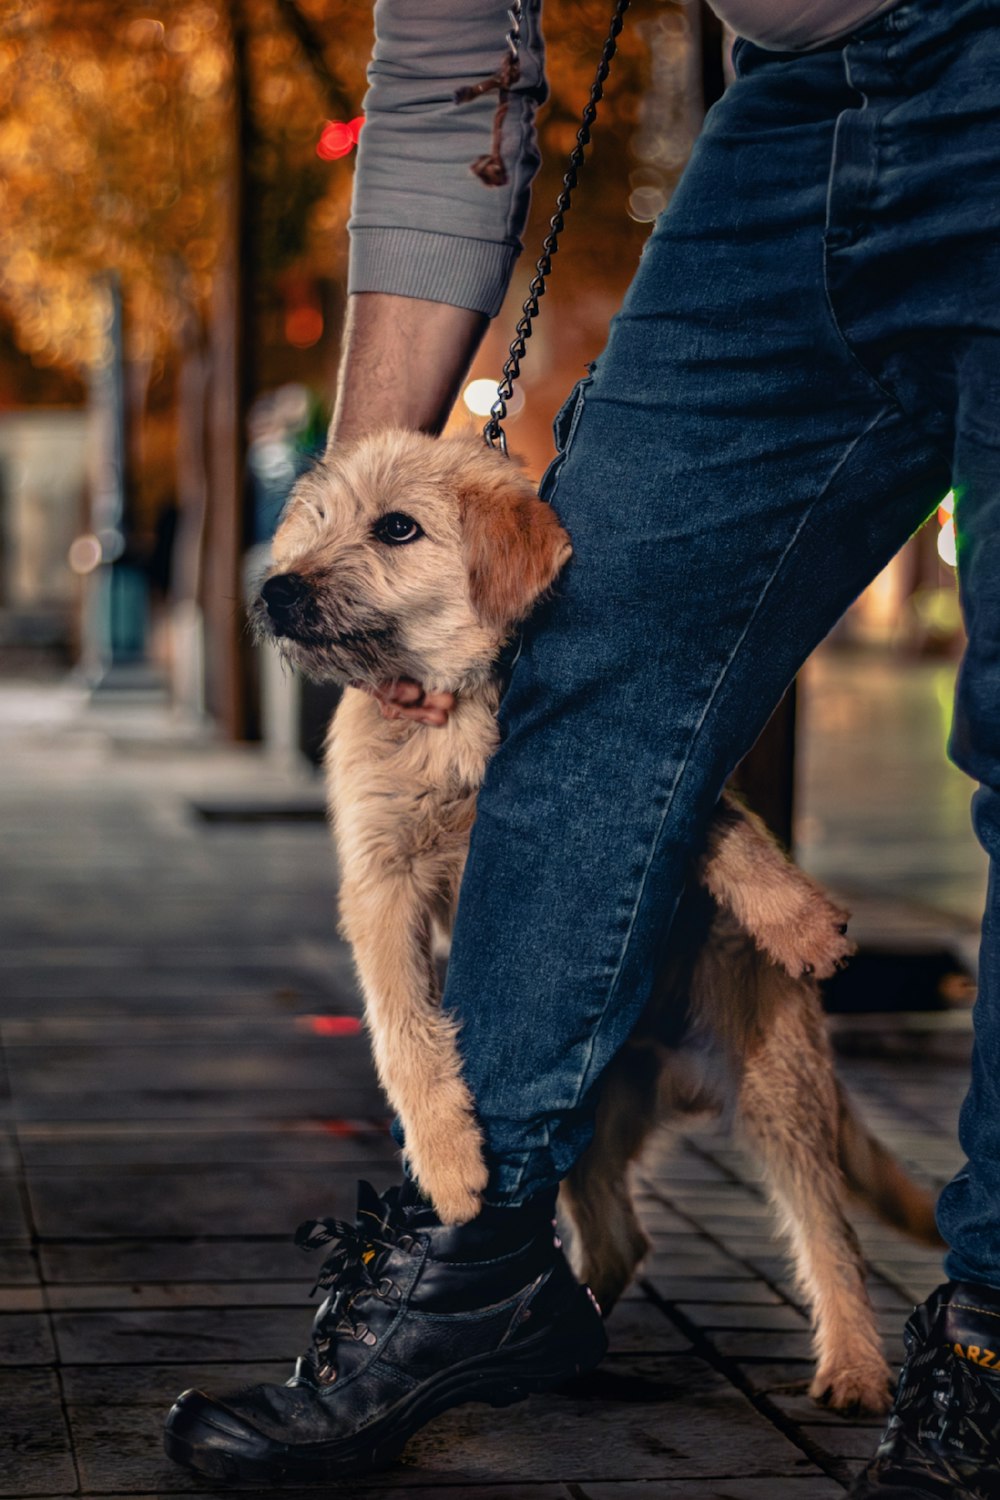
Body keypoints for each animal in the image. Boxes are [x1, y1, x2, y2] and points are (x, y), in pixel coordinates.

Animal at [254, 426, 941, 1416]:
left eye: (396, 528)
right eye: (312, 519)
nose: (276, 589)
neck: (453, 714)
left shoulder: (628, 771)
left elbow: (713, 817)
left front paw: (796, 915)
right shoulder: (380, 886)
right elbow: (405, 1030)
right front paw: (449, 1158)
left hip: (780, 1093)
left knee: (828, 1236)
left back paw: (853, 1365)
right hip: (593, 1139)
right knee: (620, 1239)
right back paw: (552, 1335)